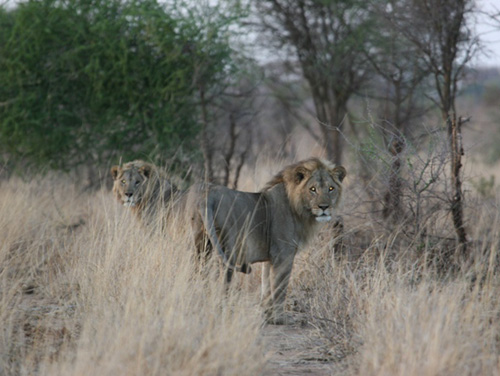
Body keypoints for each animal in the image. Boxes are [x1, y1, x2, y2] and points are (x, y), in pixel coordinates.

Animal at [189, 157, 346, 324]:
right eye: (313, 189)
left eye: (331, 188)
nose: (324, 207)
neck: (298, 209)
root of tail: (208, 197)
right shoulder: (283, 254)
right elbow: (279, 287)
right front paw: (280, 318)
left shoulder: (270, 257)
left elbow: (267, 286)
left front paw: (267, 315)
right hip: (229, 246)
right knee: (225, 278)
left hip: (202, 245)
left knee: (198, 271)